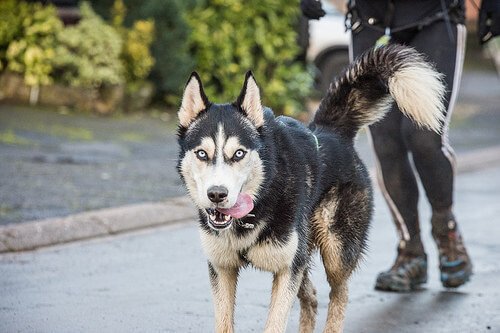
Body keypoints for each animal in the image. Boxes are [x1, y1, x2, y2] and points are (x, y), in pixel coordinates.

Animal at [177, 44, 446, 332]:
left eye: (238, 154)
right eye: (202, 154)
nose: (217, 194)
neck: (258, 206)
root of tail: (331, 131)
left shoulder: (287, 270)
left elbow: (275, 324)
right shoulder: (223, 269)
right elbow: (225, 323)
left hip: (334, 252)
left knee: (340, 294)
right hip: (304, 254)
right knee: (312, 296)